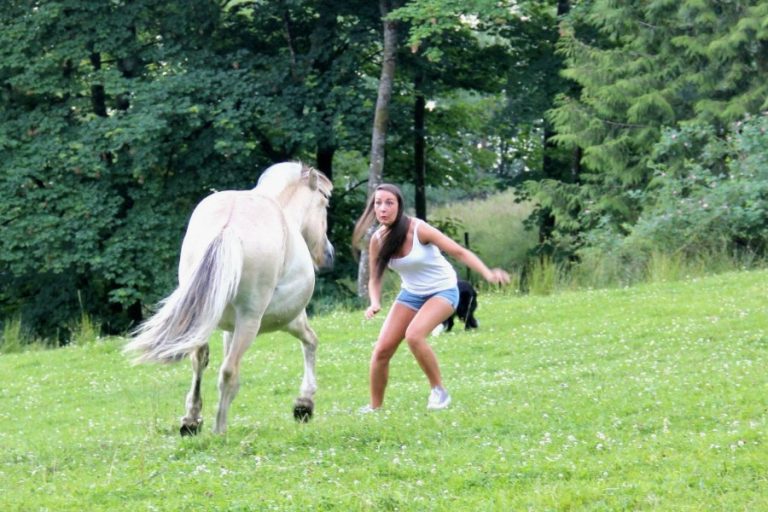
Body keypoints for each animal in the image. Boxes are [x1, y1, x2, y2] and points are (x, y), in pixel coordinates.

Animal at [124, 162, 333, 435]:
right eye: (325, 202)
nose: (329, 254)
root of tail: (228, 227)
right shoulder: (291, 319)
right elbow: (311, 341)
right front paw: (304, 404)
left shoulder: (228, 327)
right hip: (250, 322)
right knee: (229, 370)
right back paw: (219, 430)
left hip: (205, 318)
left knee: (199, 359)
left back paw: (191, 420)